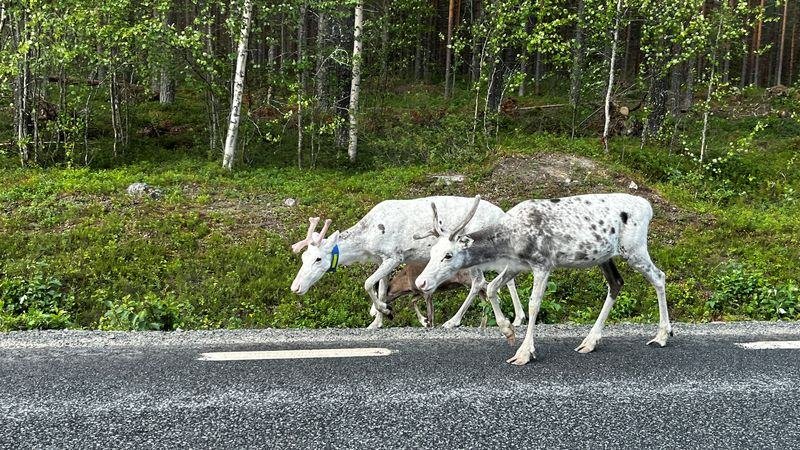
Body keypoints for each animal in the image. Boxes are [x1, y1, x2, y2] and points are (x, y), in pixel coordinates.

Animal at [289, 196, 525, 329]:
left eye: (318, 258)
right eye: (303, 257)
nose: (295, 287)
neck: (366, 243)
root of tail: (504, 214)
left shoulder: (394, 256)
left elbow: (368, 283)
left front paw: (384, 311)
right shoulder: (383, 259)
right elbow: (381, 287)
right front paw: (376, 322)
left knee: (478, 282)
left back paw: (453, 321)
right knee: (505, 278)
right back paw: (518, 317)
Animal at [414, 194, 672, 365]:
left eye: (448, 255)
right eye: (432, 251)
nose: (421, 282)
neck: (510, 241)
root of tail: (648, 207)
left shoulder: (543, 264)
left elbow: (533, 304)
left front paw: (524, 352)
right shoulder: (516, 265)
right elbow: (492, 289)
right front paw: (508, 331)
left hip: (634, 248)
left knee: (659, 276)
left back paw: (662, 335)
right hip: (605, 256)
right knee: (616, 283)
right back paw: (590, 341)